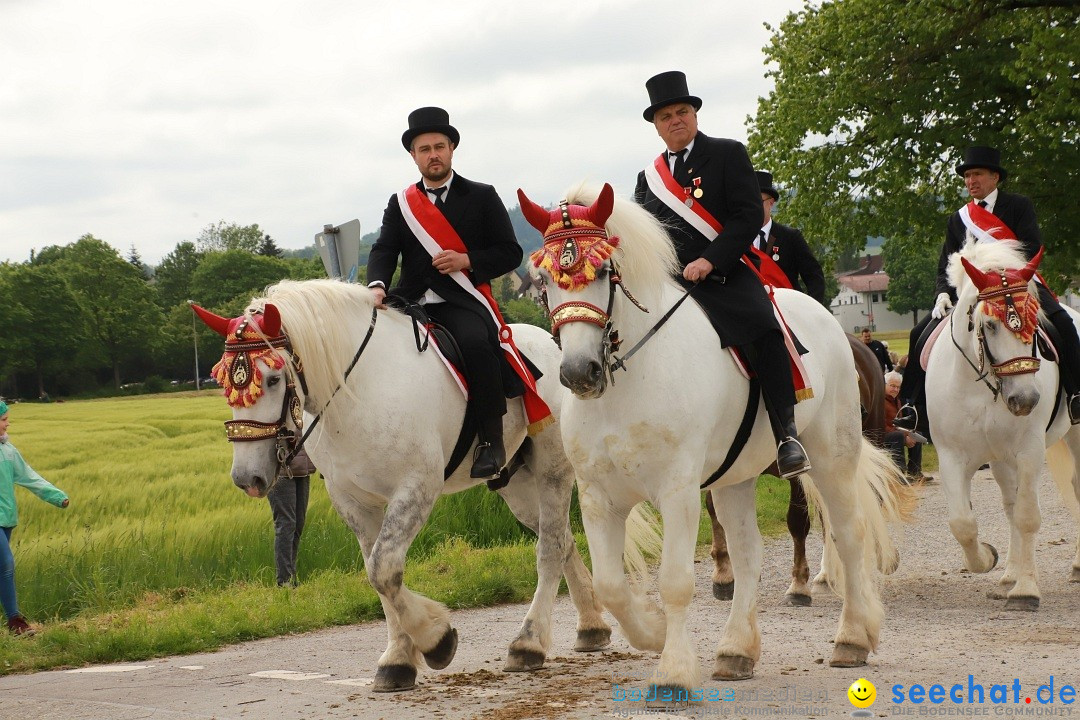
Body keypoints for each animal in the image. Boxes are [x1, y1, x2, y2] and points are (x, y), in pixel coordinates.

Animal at [194, 280, 656, 690]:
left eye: (272, 379)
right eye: (223, 381)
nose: (248, 479)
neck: (357, 389)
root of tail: (556, 346)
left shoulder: (415, 488)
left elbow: (383, 569)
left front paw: (436, 641)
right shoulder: (353, 502)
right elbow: (378, 574)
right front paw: (399, 659)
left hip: (552, 471)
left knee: (550, 548)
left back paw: (528, 644)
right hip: (518, 486)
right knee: (559, 538)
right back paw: (590, 627)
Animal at [924, 241, 1080, 608]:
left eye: (1034, 321)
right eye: (990, 325)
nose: (1025, 400)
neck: (984, 387)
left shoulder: (1029, 451)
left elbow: (1027, 516)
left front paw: (1026, 590)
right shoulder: (952, 456)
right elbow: (962, 523)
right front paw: (987, 559)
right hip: (999, 459)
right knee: (1009, 505)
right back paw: (1008, 574)